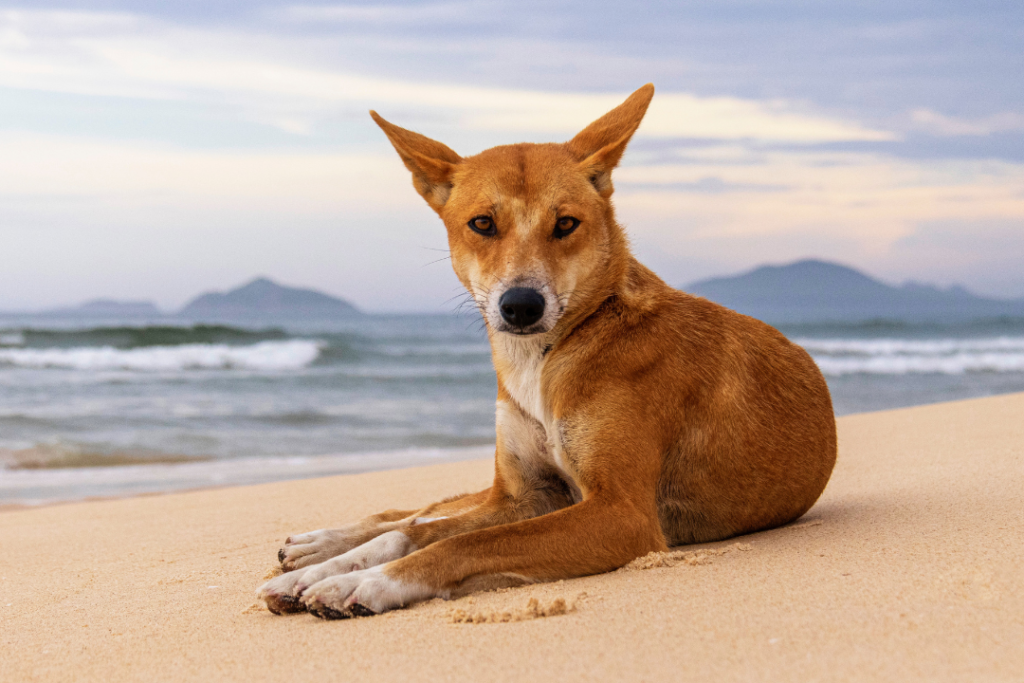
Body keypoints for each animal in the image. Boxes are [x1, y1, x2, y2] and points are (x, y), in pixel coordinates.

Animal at [253, 85, 831, 618]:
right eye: (482, 224)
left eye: (566, 224)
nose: (521, 306)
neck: (549, 356)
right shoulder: (524, 496)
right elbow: (422, 532)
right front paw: (333, 570)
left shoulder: (620, 513)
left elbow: (461, 542)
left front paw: (364, 582)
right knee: (414, 514)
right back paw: (314, 550)